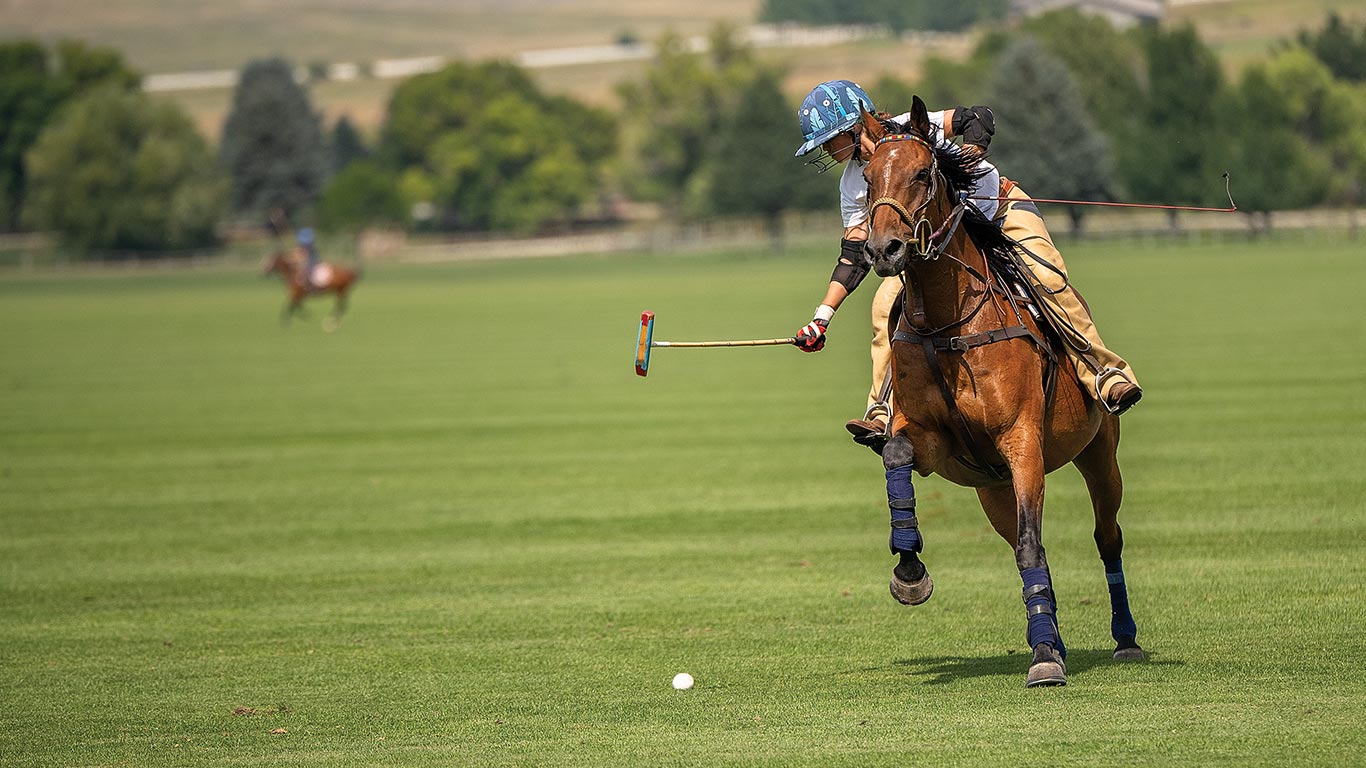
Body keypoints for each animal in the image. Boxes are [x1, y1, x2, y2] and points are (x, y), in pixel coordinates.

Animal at [858, 97, 1143, 687]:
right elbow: (896, 452)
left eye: (923, 174)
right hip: (991, 488)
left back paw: (1123, 638)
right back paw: (1052, 634)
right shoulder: (937, 444)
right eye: (868, 179)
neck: (947, 323)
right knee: (1022, 539)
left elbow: (1034, 543)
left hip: (1099, 452)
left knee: (1106, 535)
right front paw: (909, 571)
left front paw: (1045, 661)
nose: (883, 249)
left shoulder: (1022, 442)